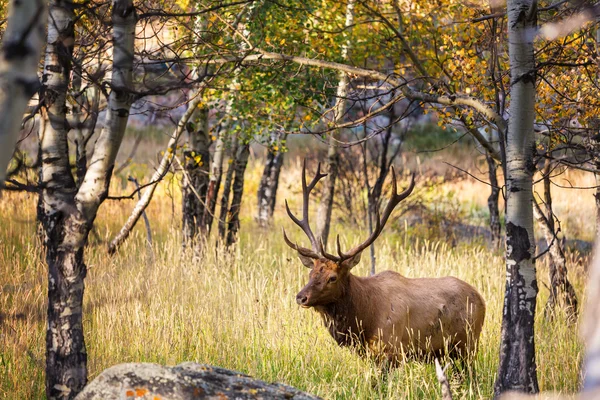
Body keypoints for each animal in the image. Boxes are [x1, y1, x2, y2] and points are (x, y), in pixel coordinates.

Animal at [284, 162, 486, 362]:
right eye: (311, 273)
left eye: (332, 277)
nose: (301, 297)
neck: (365, 318)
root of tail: (482, 300)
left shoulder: (392, 349)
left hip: (468, 344)